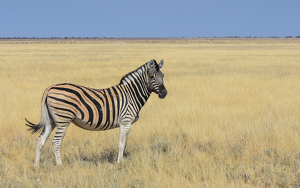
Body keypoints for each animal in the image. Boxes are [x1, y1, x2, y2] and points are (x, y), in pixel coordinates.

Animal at [25, 59, 166, 166]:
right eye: (152, 76)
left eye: (163, 76)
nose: (164, 93)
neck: (131, 94)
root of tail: (49, 88)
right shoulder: (125, 121)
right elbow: (121, 144)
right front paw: (119, 163)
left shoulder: (127, 124)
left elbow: (125, 143)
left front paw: (122, 160)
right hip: (63, 119)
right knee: (56, 142)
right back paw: (60, 165)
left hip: (51, 120)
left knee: (40, 141)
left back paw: (36, 165)